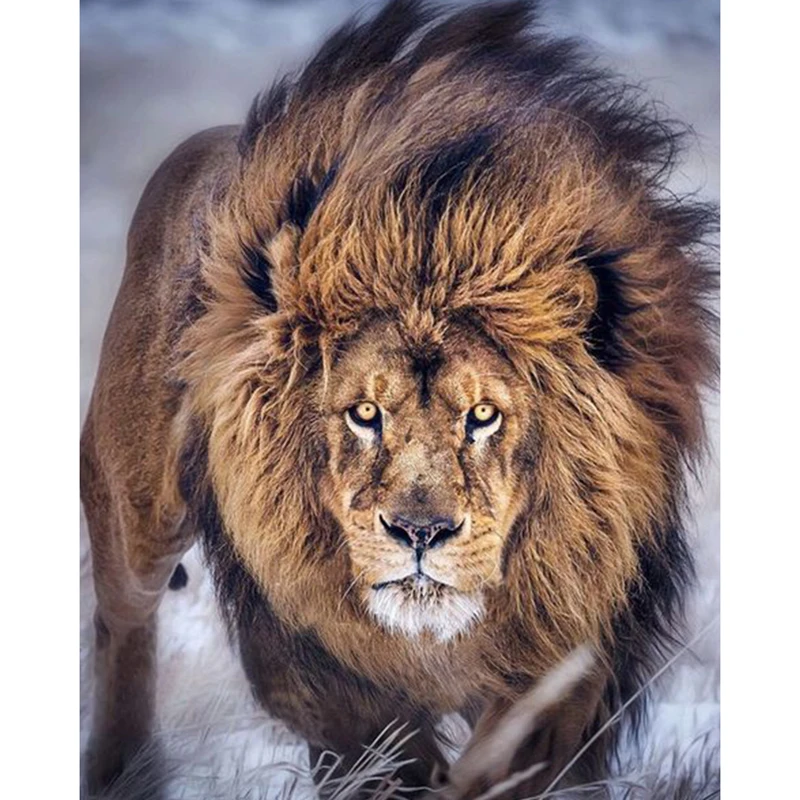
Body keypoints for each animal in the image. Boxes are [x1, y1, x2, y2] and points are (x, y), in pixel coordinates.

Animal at [80, 1, 718, 796]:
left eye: (482, 416)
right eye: (364, 413)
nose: (420, 533)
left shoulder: (578, 648)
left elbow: (510, 753)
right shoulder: (311, 661)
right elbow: (384, 756)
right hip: (135, 507)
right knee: (121, 622)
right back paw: (120, 771)